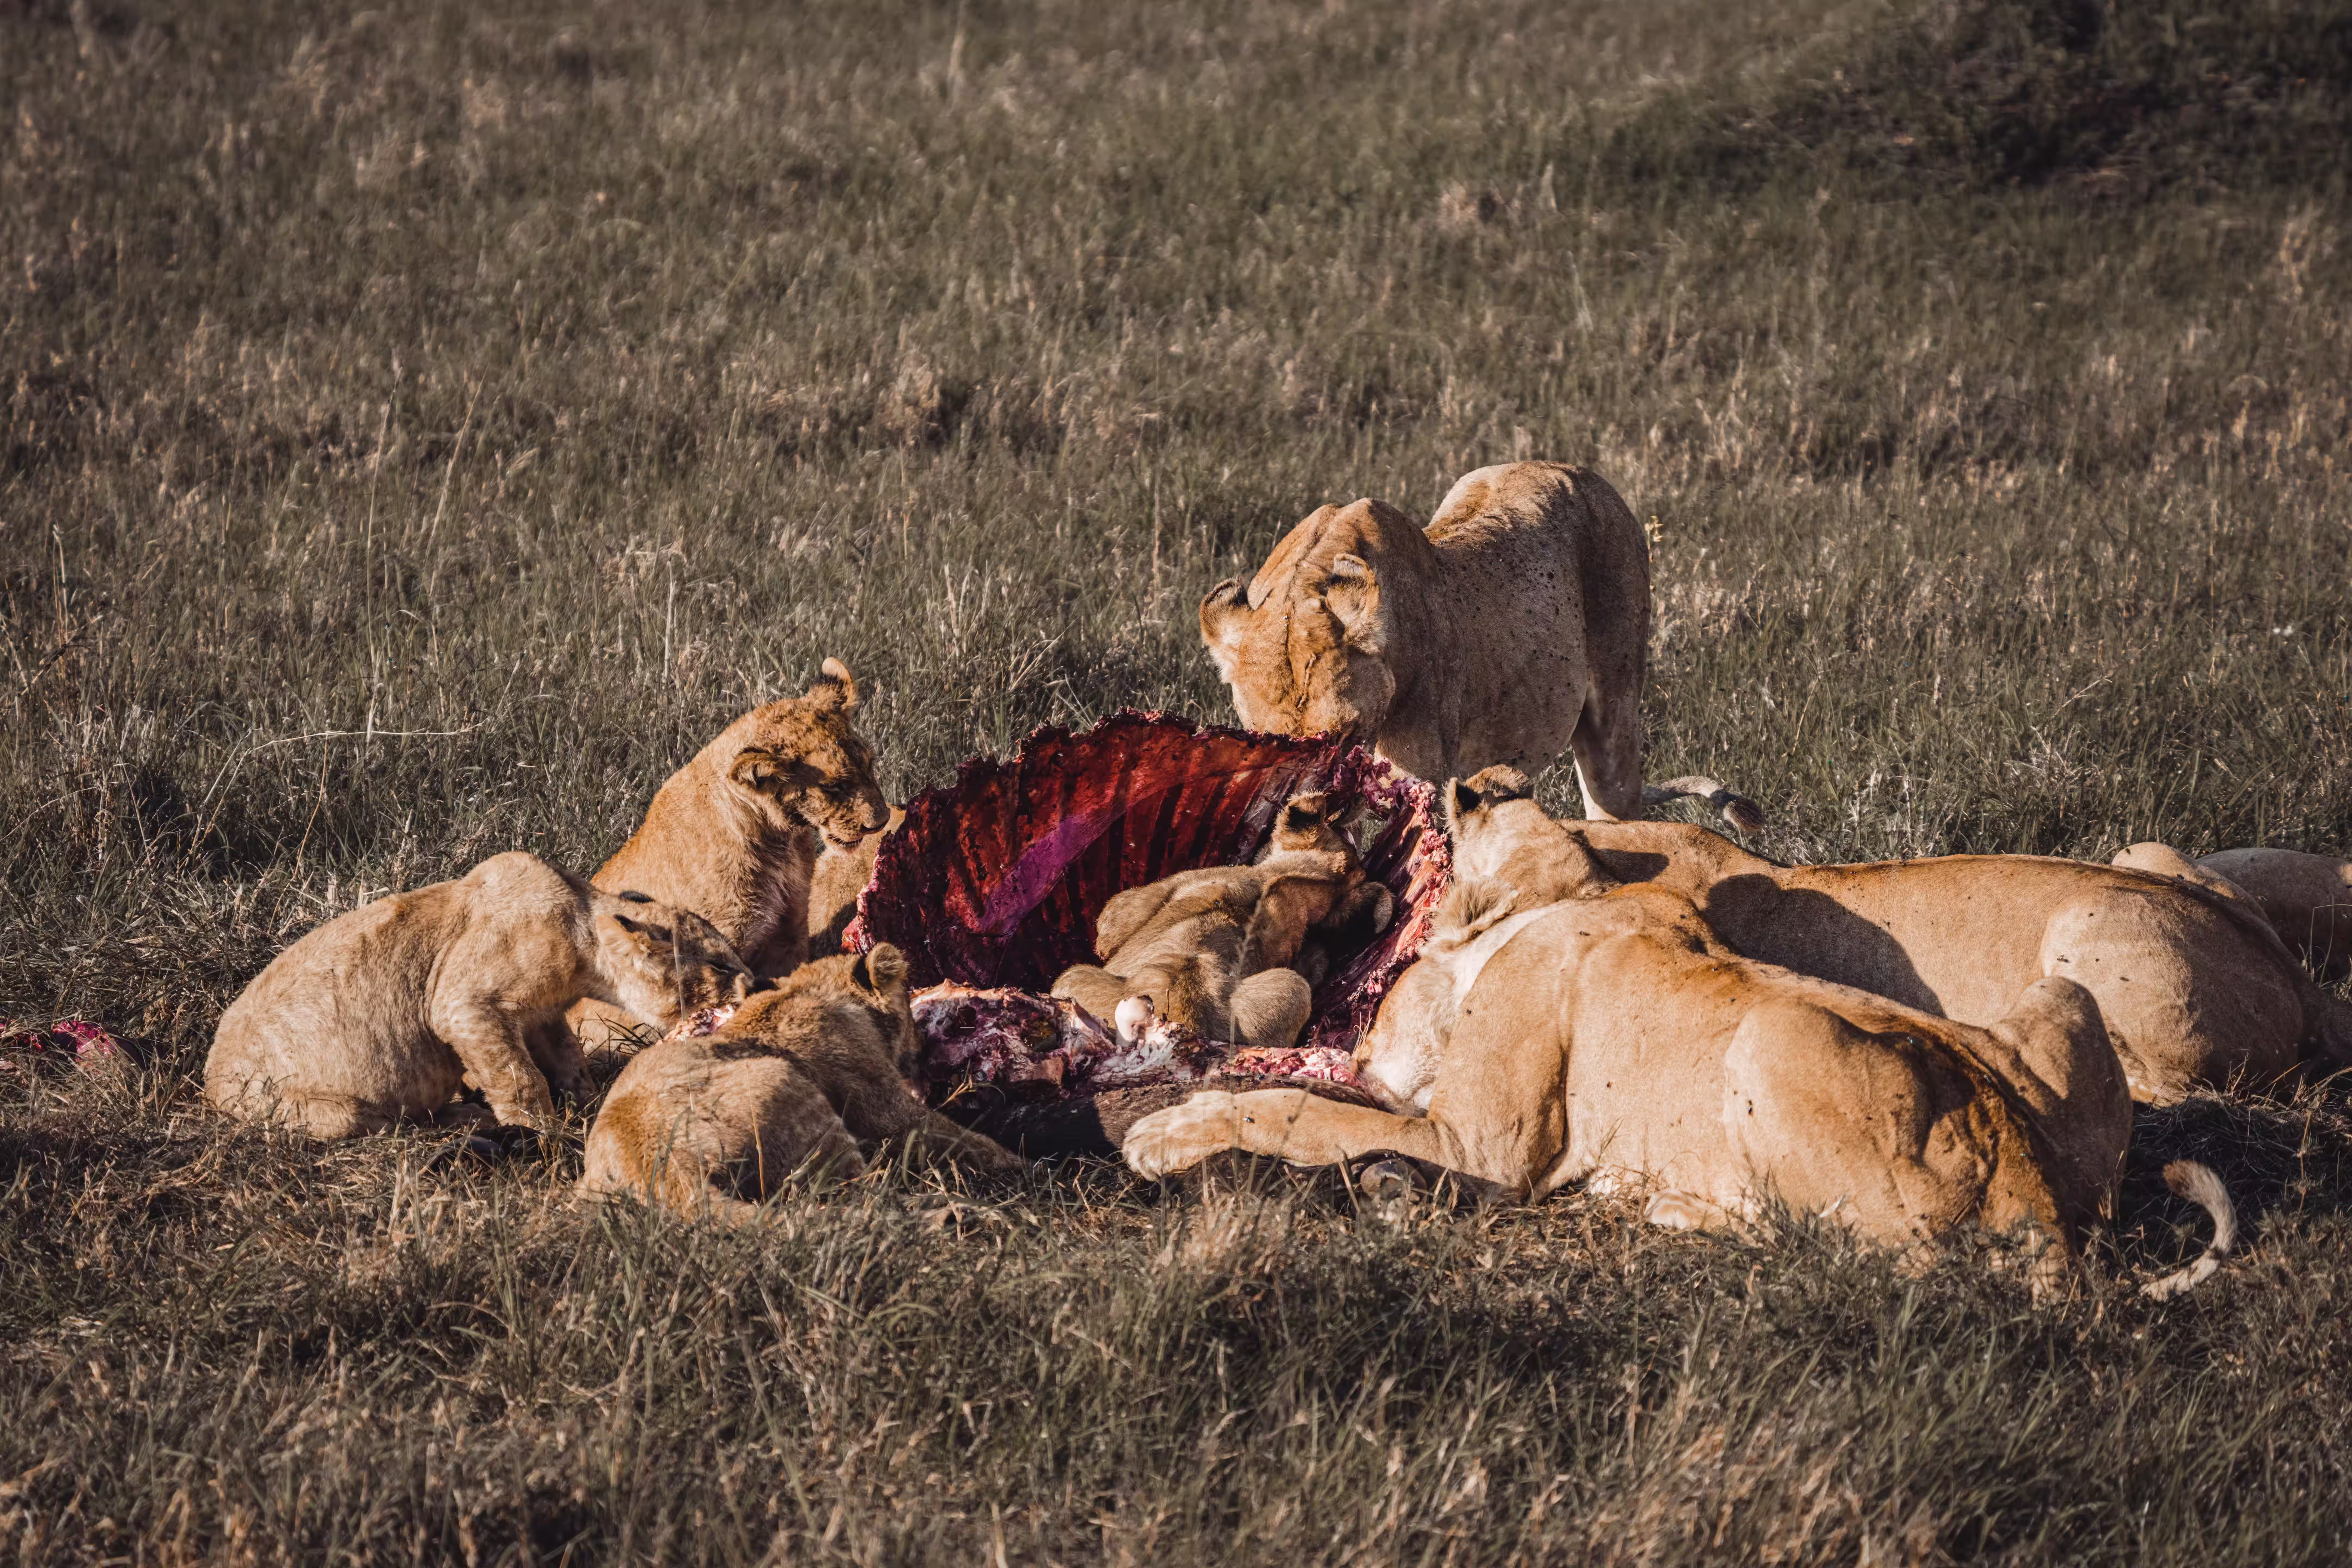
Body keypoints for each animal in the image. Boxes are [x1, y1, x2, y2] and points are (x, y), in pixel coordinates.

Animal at [206, 852, 756, 1140]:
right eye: (720, 964)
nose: (755, 983)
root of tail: (209, 1086)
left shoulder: (541, 1015)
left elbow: (568, 1058)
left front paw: (586, 1101)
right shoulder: (463, 1003)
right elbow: (519, 1078)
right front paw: (543, 1134)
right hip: (329, 1112)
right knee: (391, 1125)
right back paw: (468, 1119)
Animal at [579, 945, 1026, 1219]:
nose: (926, 1046)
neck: (810, 990)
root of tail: (660, 1169)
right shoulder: (884, 1106)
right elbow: (963, 1139)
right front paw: (1024, 1166)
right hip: (792, 1088)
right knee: (865, 1198)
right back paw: (959, 1213)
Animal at [1048, 791, 1394, 1050]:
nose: (1360, 798)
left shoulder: (1167, 888)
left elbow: (1109, 926)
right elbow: (1318, 957)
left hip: (1072, 979)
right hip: (1289, 988)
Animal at [1126, 874, 2232, 1295]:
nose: (1357, 1053)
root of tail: (2032, 1192)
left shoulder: (1481, 1148)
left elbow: (1297, 1109)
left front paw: (1168, 1130)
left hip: (1776, 1034)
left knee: (1871, 1255)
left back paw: (1663, 1204)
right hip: (2058, 999)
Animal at [1197, 461, 1760, 830]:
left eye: (1344, 737)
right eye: (1271, 745)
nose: (1308, 813)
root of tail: (1580, 470)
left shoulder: (1424, 791)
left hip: (1615, 723)